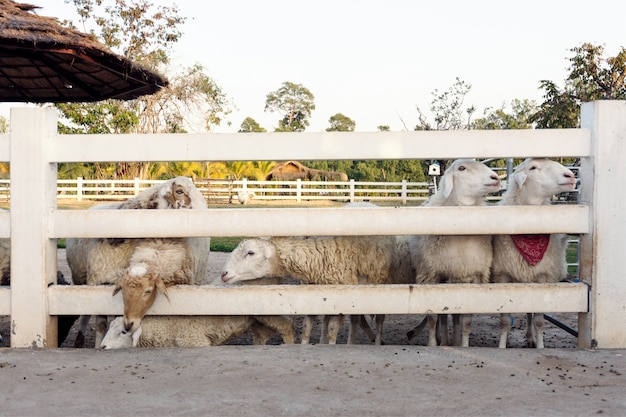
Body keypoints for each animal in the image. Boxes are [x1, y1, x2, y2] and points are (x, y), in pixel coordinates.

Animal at [219, 234, 414, 344]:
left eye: (250, 252)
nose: (224, 273)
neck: (320, 256)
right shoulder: (314, 293)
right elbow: (307, 328)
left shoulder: (340, 296)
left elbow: (333, 330)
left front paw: (330, 343)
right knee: (355, 320)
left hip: (380, 285)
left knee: (378, 319)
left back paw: (377, 341)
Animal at [404, 158, 502, 346]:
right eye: (461, 168)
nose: (496, 178)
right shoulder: (432, 275)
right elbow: (433, 317)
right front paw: (432, 344)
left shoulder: (473, 277)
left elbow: (466, 321)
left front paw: (463, 344)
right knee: (442, 316)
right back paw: (443, 339)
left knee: (455, 314)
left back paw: (453, 340)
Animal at [490, 158, 572, 346]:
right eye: (533, 168)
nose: (570, 176)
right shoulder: (503, 276)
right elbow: (504, 321)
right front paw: (502, 345)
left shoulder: (543, 277)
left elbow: (539, 321)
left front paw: (540, 345)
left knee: (530, 311)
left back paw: (530, 338)